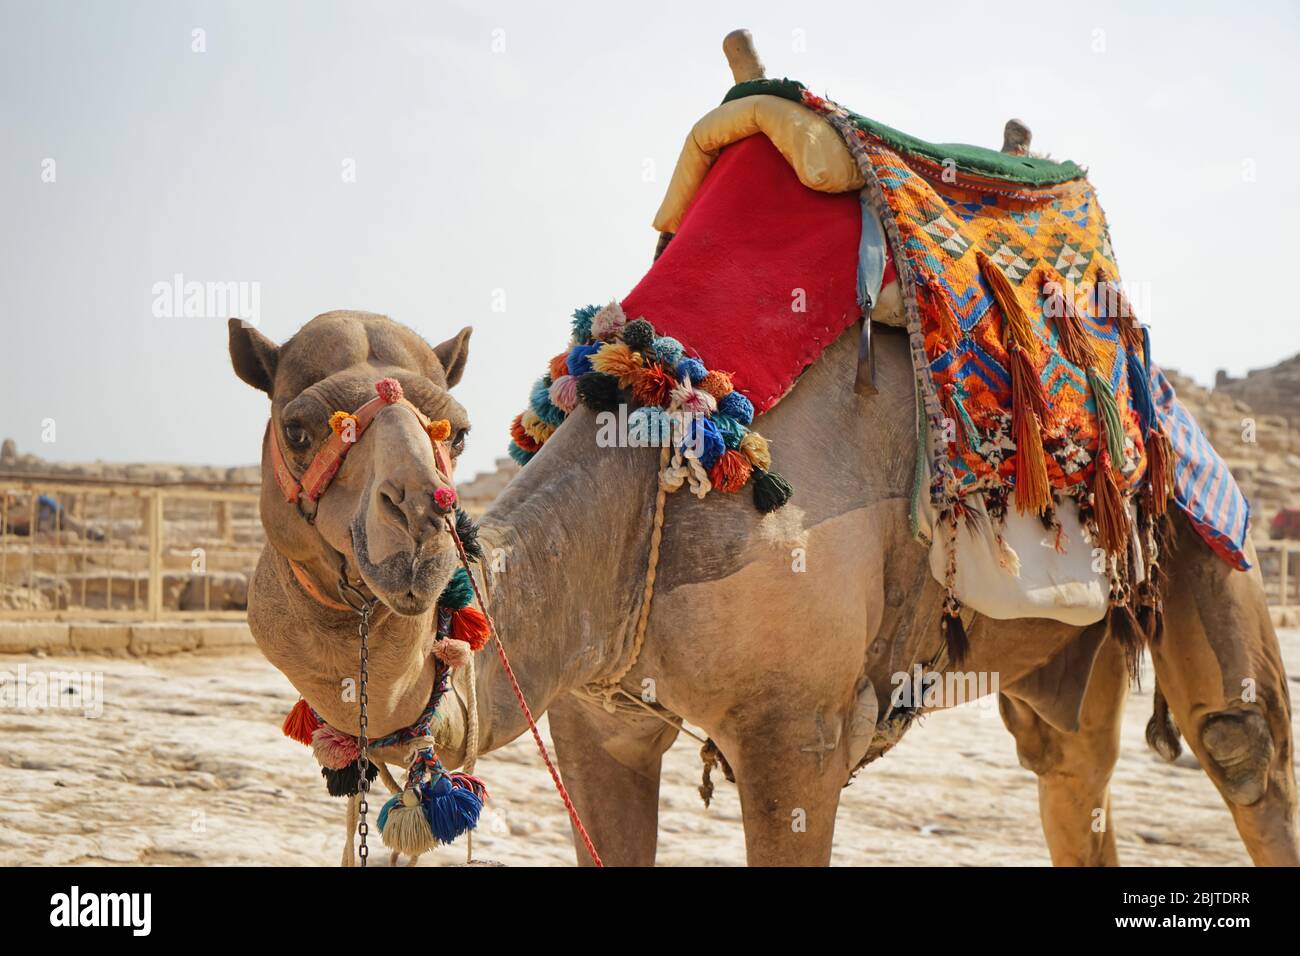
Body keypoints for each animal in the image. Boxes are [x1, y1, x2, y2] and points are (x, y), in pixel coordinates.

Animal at [228, 303, 1294, 863]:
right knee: (1069, 765)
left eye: (455, 427)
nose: (418, 526)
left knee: (1238, 745)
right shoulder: (594, 719)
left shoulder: (798, 736)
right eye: (299, 426)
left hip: (1201, 523)